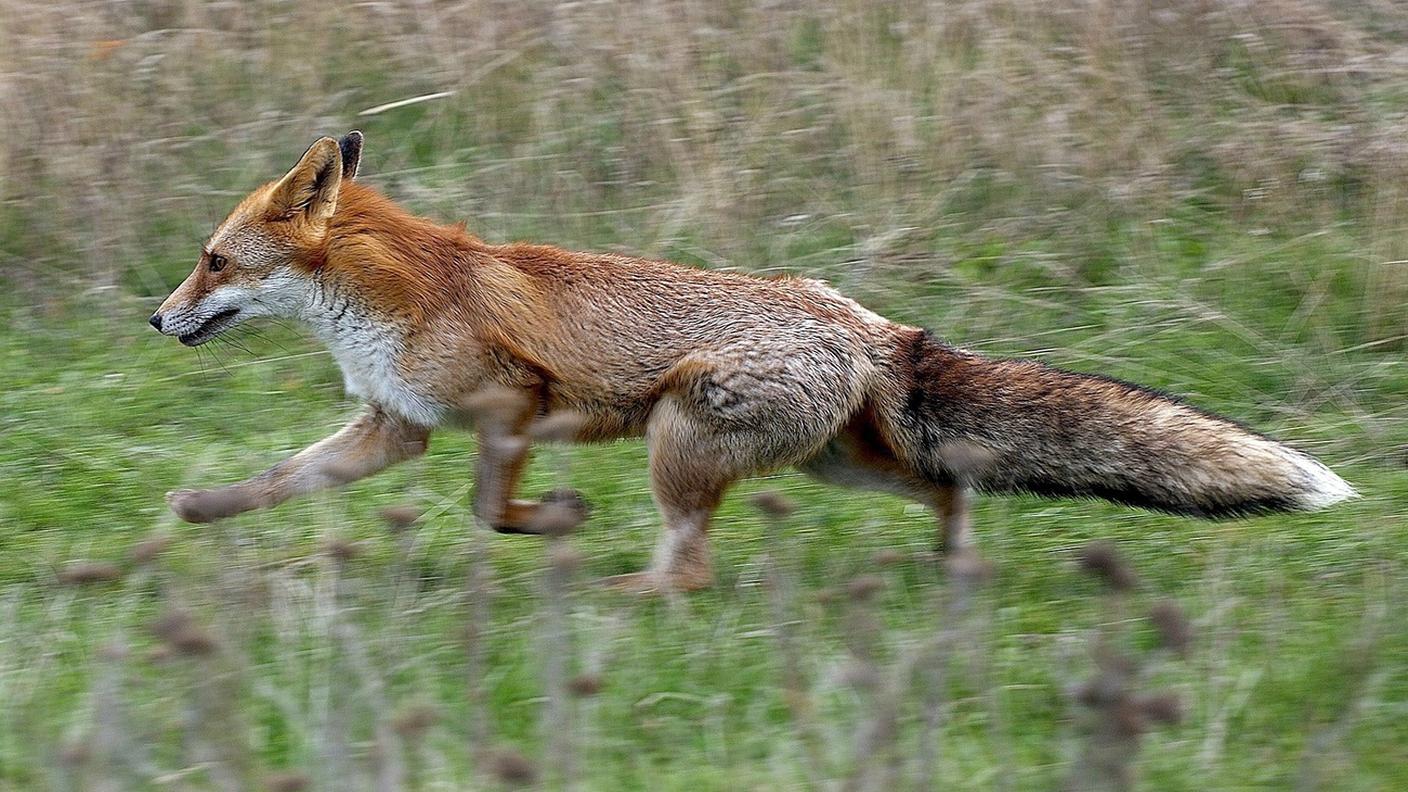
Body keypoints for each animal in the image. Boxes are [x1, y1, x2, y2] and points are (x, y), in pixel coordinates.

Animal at [150, 132, 1356, 590]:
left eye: (211, 261)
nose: (157, 321)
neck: (386, 300)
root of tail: (866, 321)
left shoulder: (510, 404)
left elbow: (493, 511)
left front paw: (557, 525)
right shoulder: (392, 423)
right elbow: (283, 480)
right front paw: (198, 511)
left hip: (681, 449)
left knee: (690, 569)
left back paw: (626, 593)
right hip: (834, 465)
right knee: (948, 484)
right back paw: (954, 565)